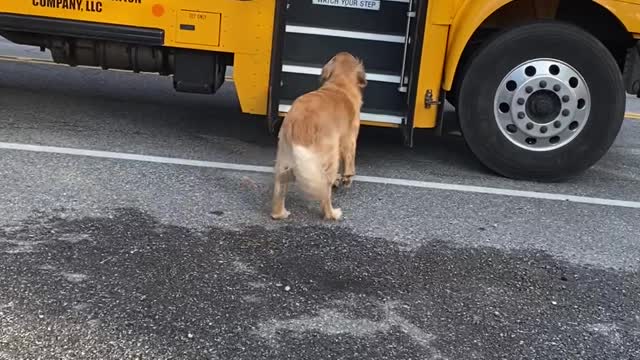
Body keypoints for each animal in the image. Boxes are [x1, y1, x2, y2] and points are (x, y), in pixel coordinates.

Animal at [272, 52, 370, 221]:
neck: (340, 84)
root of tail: (299, 123)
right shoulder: (350, 138)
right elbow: (349, 160)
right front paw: (347, 178)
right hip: (330, 156)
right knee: (325, 192)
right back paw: (332, 214)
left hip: (284, 155)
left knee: (280, 185)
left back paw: (280, 213)